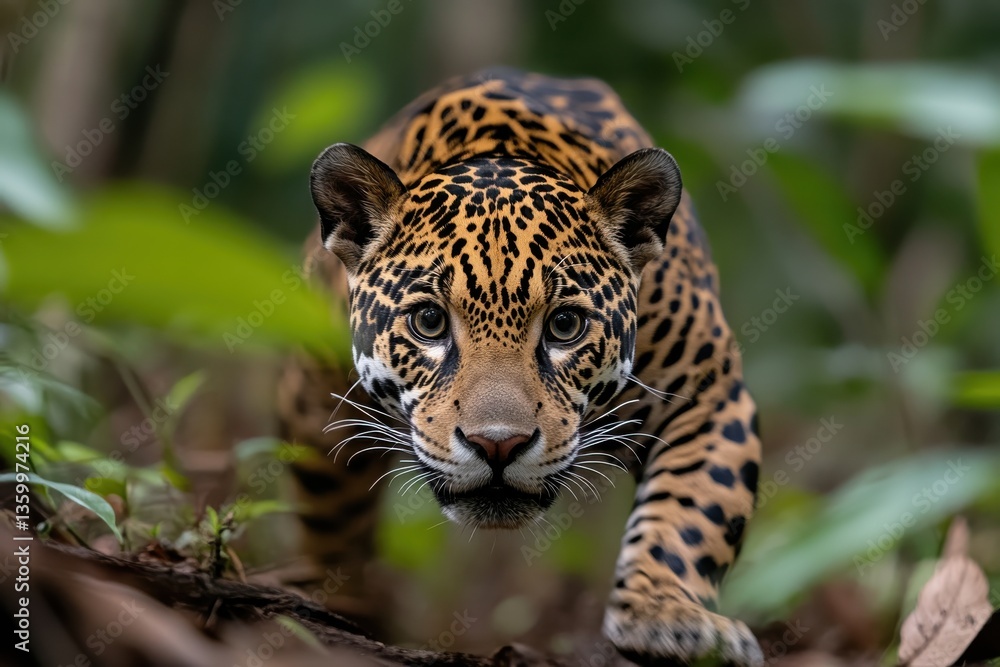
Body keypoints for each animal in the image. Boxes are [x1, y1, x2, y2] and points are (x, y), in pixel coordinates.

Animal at [278, 68, 764, 666]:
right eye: (429, 321)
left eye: (564, 326)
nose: (497, 445)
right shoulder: (316, 405)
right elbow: (331, 516)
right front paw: (334, 604)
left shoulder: (707, 393)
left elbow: (695, 510)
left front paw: (668, 617)